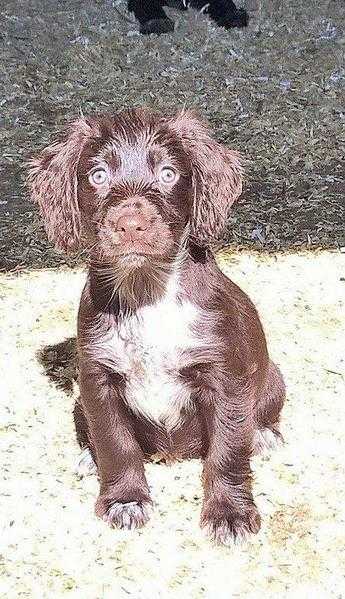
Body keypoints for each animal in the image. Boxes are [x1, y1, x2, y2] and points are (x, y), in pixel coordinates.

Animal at [28, 106, 284, 544]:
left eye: (168, 173)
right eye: (98, 175)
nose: (131, 224)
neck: (147, 291)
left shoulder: (225, 379)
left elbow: (228, 450)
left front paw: (229, 514)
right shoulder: (97, 380)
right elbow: (115, 443)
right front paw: (125, 500)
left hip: (273, 379)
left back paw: (263, 434)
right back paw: (87, 457)